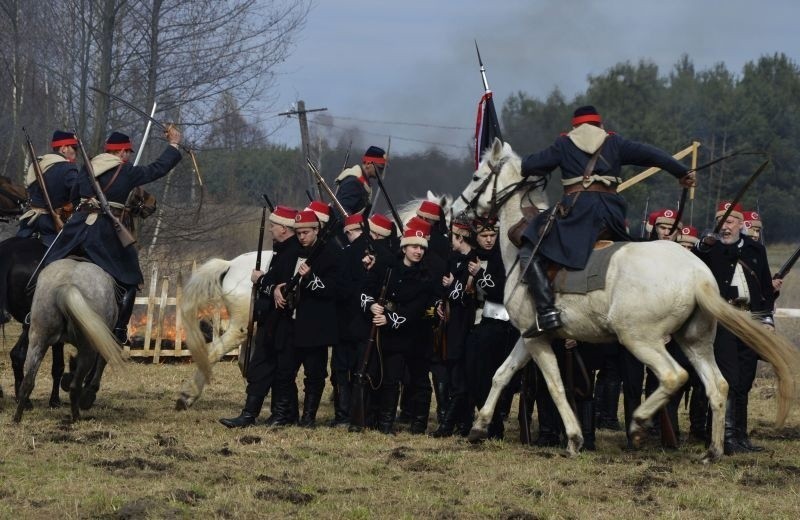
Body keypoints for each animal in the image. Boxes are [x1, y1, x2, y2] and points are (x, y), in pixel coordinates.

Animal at [450, 139, 800, 464]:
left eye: (476, 175)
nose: (455, 210)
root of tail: (697, 274)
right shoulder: (530, 335)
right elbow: (502, 373)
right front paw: (478, 428)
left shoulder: (537, 338)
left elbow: (555, 385)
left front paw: (574, 439)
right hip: (695, 341)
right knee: (718, 386)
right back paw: (712, 451)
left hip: (639, 338)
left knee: (674, 376)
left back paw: (639, 424)